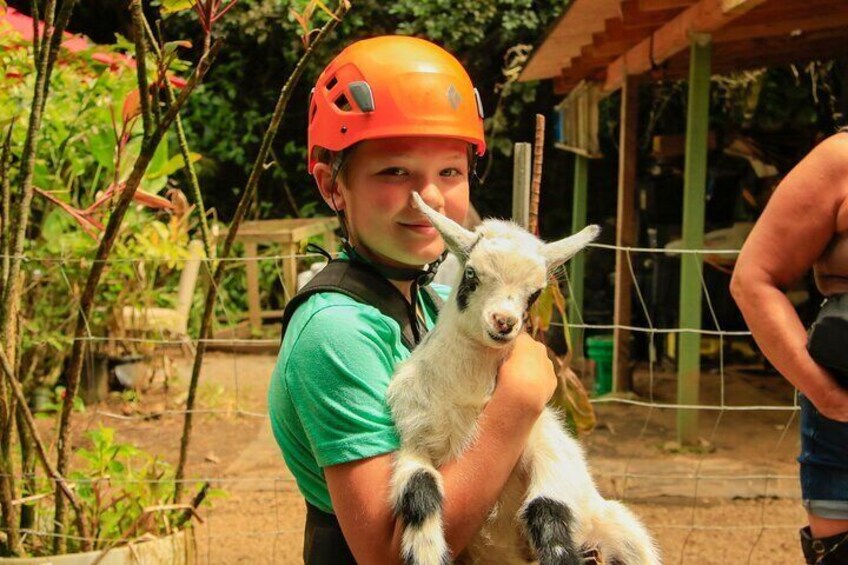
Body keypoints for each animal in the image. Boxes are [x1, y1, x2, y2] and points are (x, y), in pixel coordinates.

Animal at [386, 192, 664, 560]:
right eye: (471, 274)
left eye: (535, 293)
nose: (504, 322)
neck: (469, 401)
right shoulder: (415, 443)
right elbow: (420, 495)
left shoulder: (548, 444)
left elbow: (546, 510)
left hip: (621, 527)